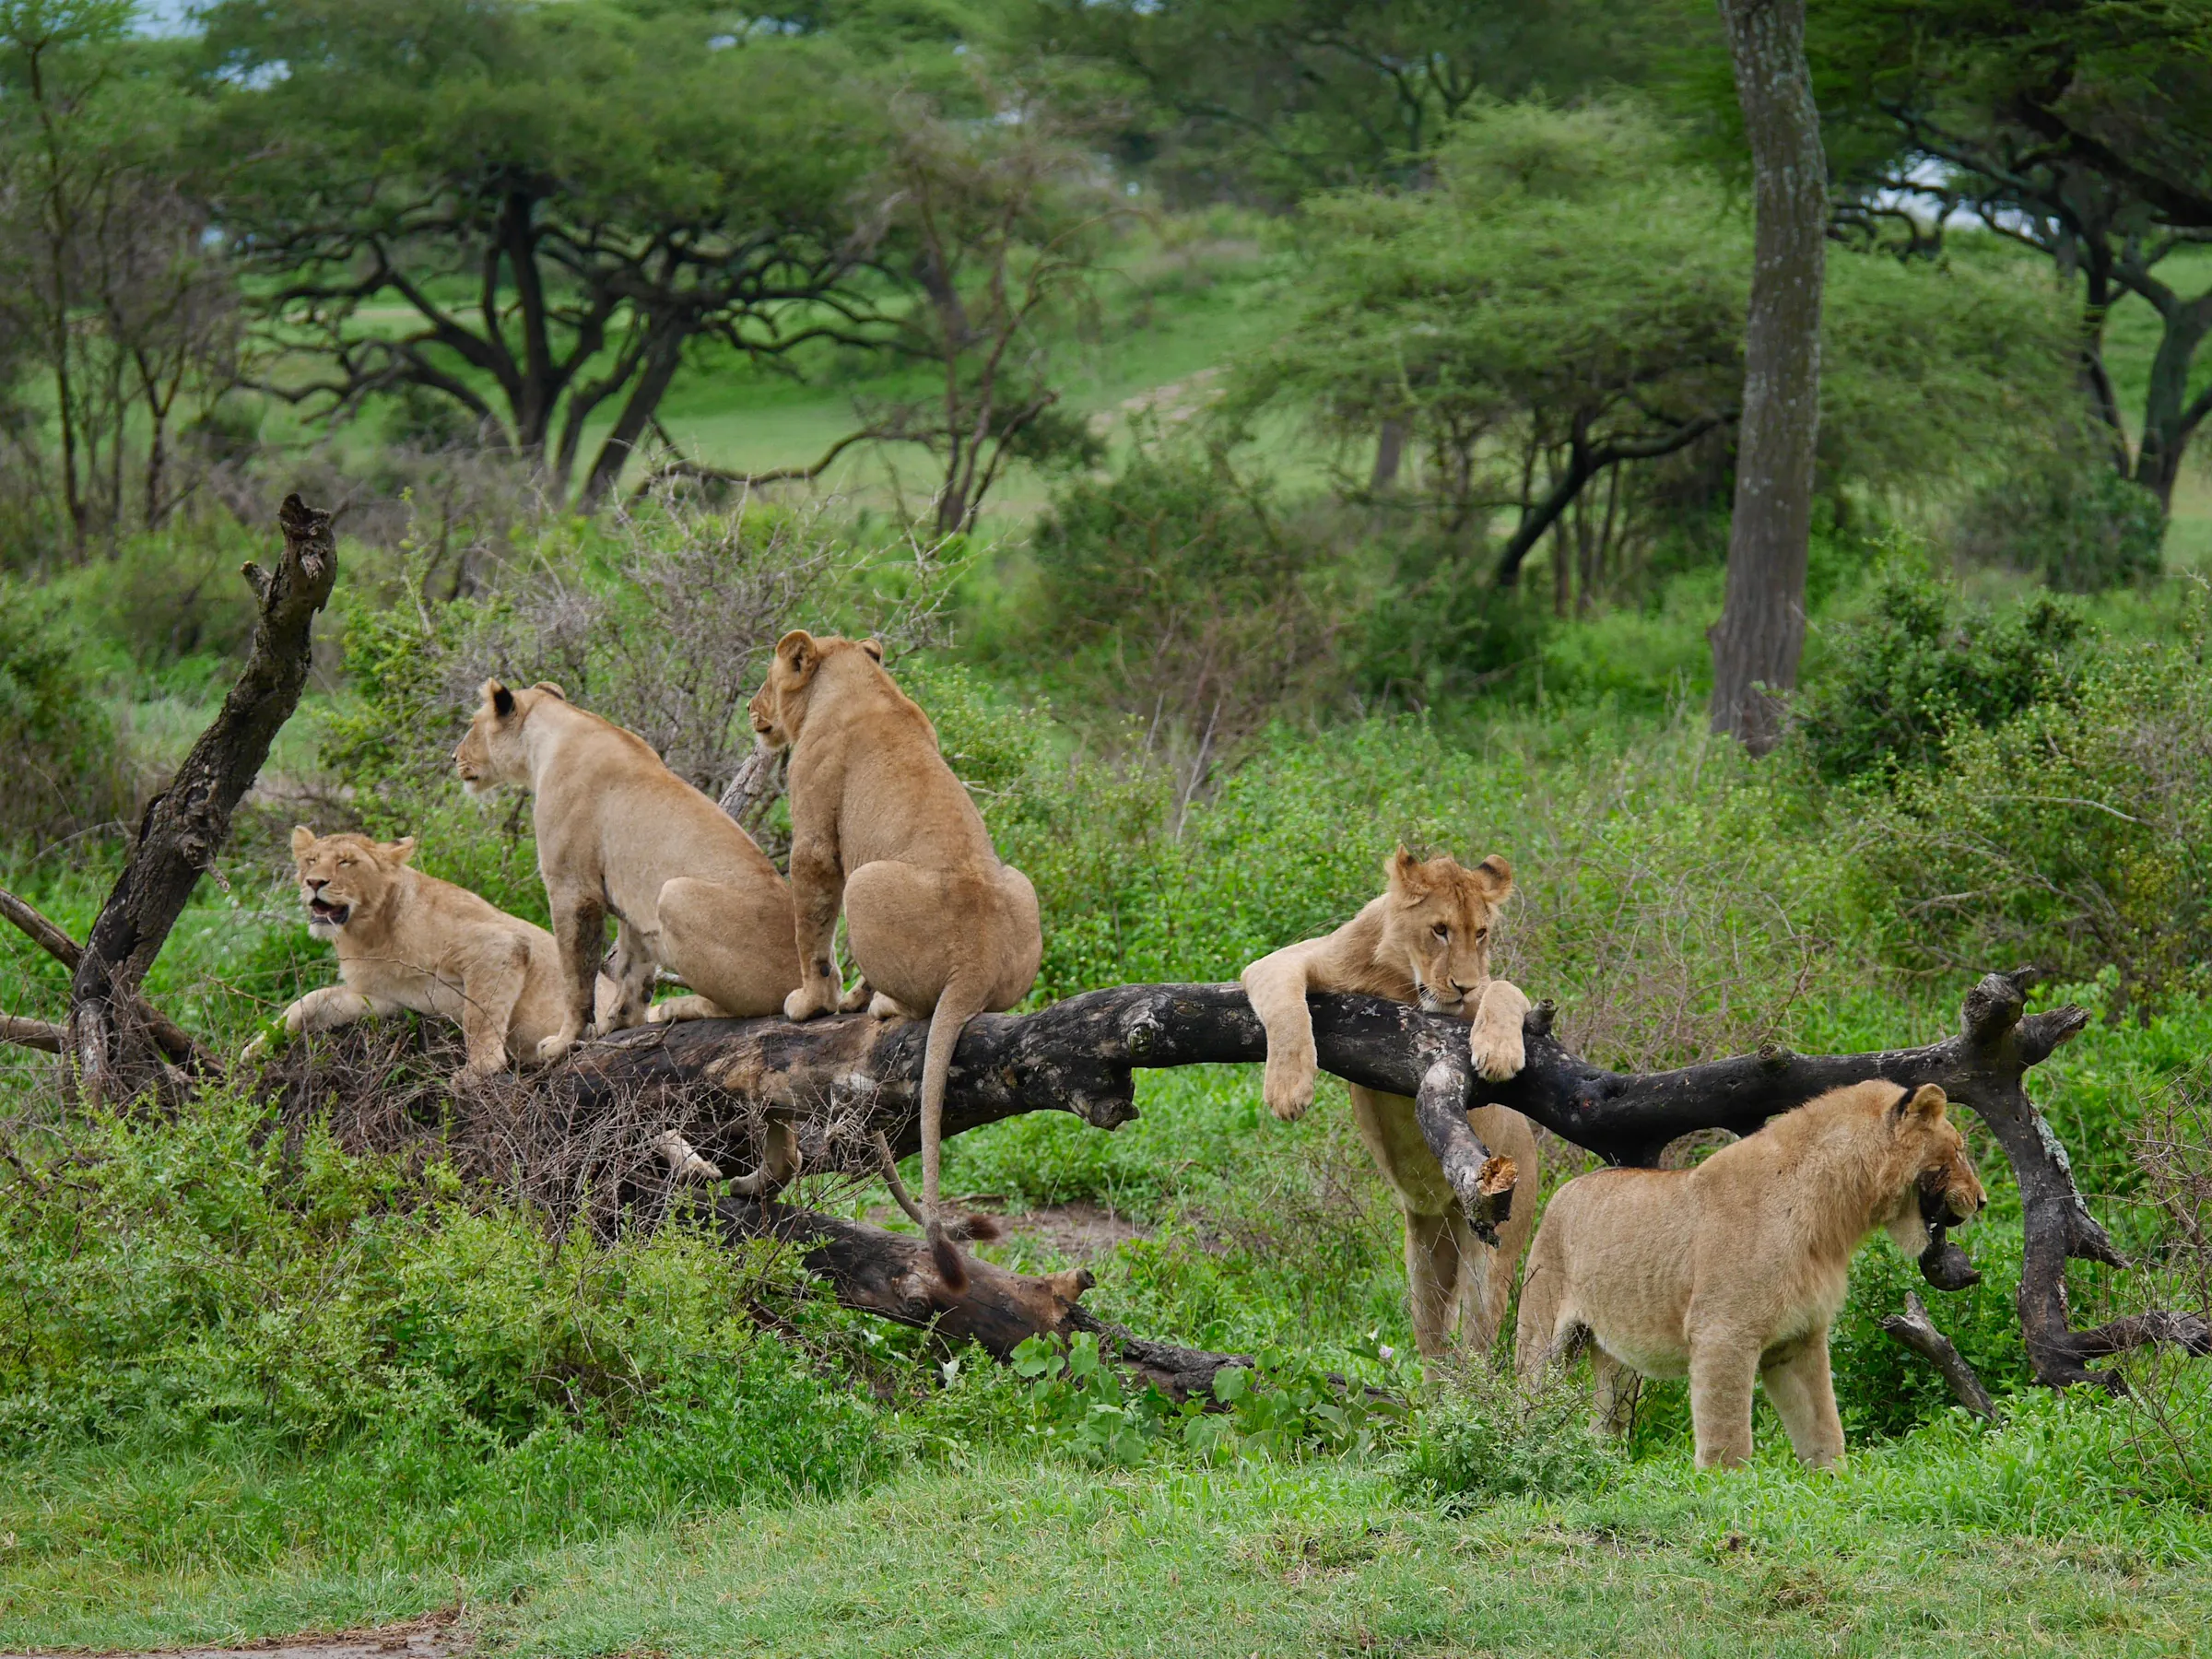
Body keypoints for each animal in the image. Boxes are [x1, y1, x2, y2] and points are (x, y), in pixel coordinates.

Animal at [248, 827, 583, 1085]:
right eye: (311, 860)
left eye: (346, 862)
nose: (314, 882)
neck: (367, 935)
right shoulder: (382, 996)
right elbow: (309, 1001)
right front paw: (256, 1047)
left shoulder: (500, 943)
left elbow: (479, 1014)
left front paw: (479, 1069)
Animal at [453, 680, 800, 1060]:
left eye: (473, 723)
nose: (454, 757)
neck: (547, 739)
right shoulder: (628, 898)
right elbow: (631, 967)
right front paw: (618, 1021)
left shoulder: (573, 888)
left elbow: (575, 976)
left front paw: (563, 1042)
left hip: (675, 894)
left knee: (750, 1006)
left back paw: (678, 1007)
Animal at [748, 630, 1041, 1287]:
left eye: (768, 680)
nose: (751, 712)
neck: (853, 680)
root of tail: (975, 961)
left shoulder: (813, 838)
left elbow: (812, 932)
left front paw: (809, 1003)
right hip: (1022, 883)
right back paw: (865, 996)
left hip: (865, 880)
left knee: (908, 1004)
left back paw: (873, 1003)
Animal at [1241, 848, 1538, 1358]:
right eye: (1439, 929)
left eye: (1480, 933)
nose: (1462, 985)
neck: (1400, 981)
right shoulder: (1288, 960)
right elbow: (1285, 1005)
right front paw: (1287, 1089)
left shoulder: (1481, 993)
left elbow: (1504, 989)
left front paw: (1499, 1052)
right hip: (1424, 1259)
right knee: (1435, 1350)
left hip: (1493, 1254)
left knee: (1477, 1349)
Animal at [1515, 1078, 1986, 1470]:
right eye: (1958, 1151)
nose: (1981, 1201)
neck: (1835, 1214)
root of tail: (1563, 1189)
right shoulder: (1722, 1332)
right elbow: (1727, 1434)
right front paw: (1725, 1490)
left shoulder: (1799, 1337)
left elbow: (1821, 1422)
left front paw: (1834, 1482)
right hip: (1540, 1336)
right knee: (1525, 1395)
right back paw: (1523, 1446)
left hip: (1616, 1363)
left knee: (1606, 1422)